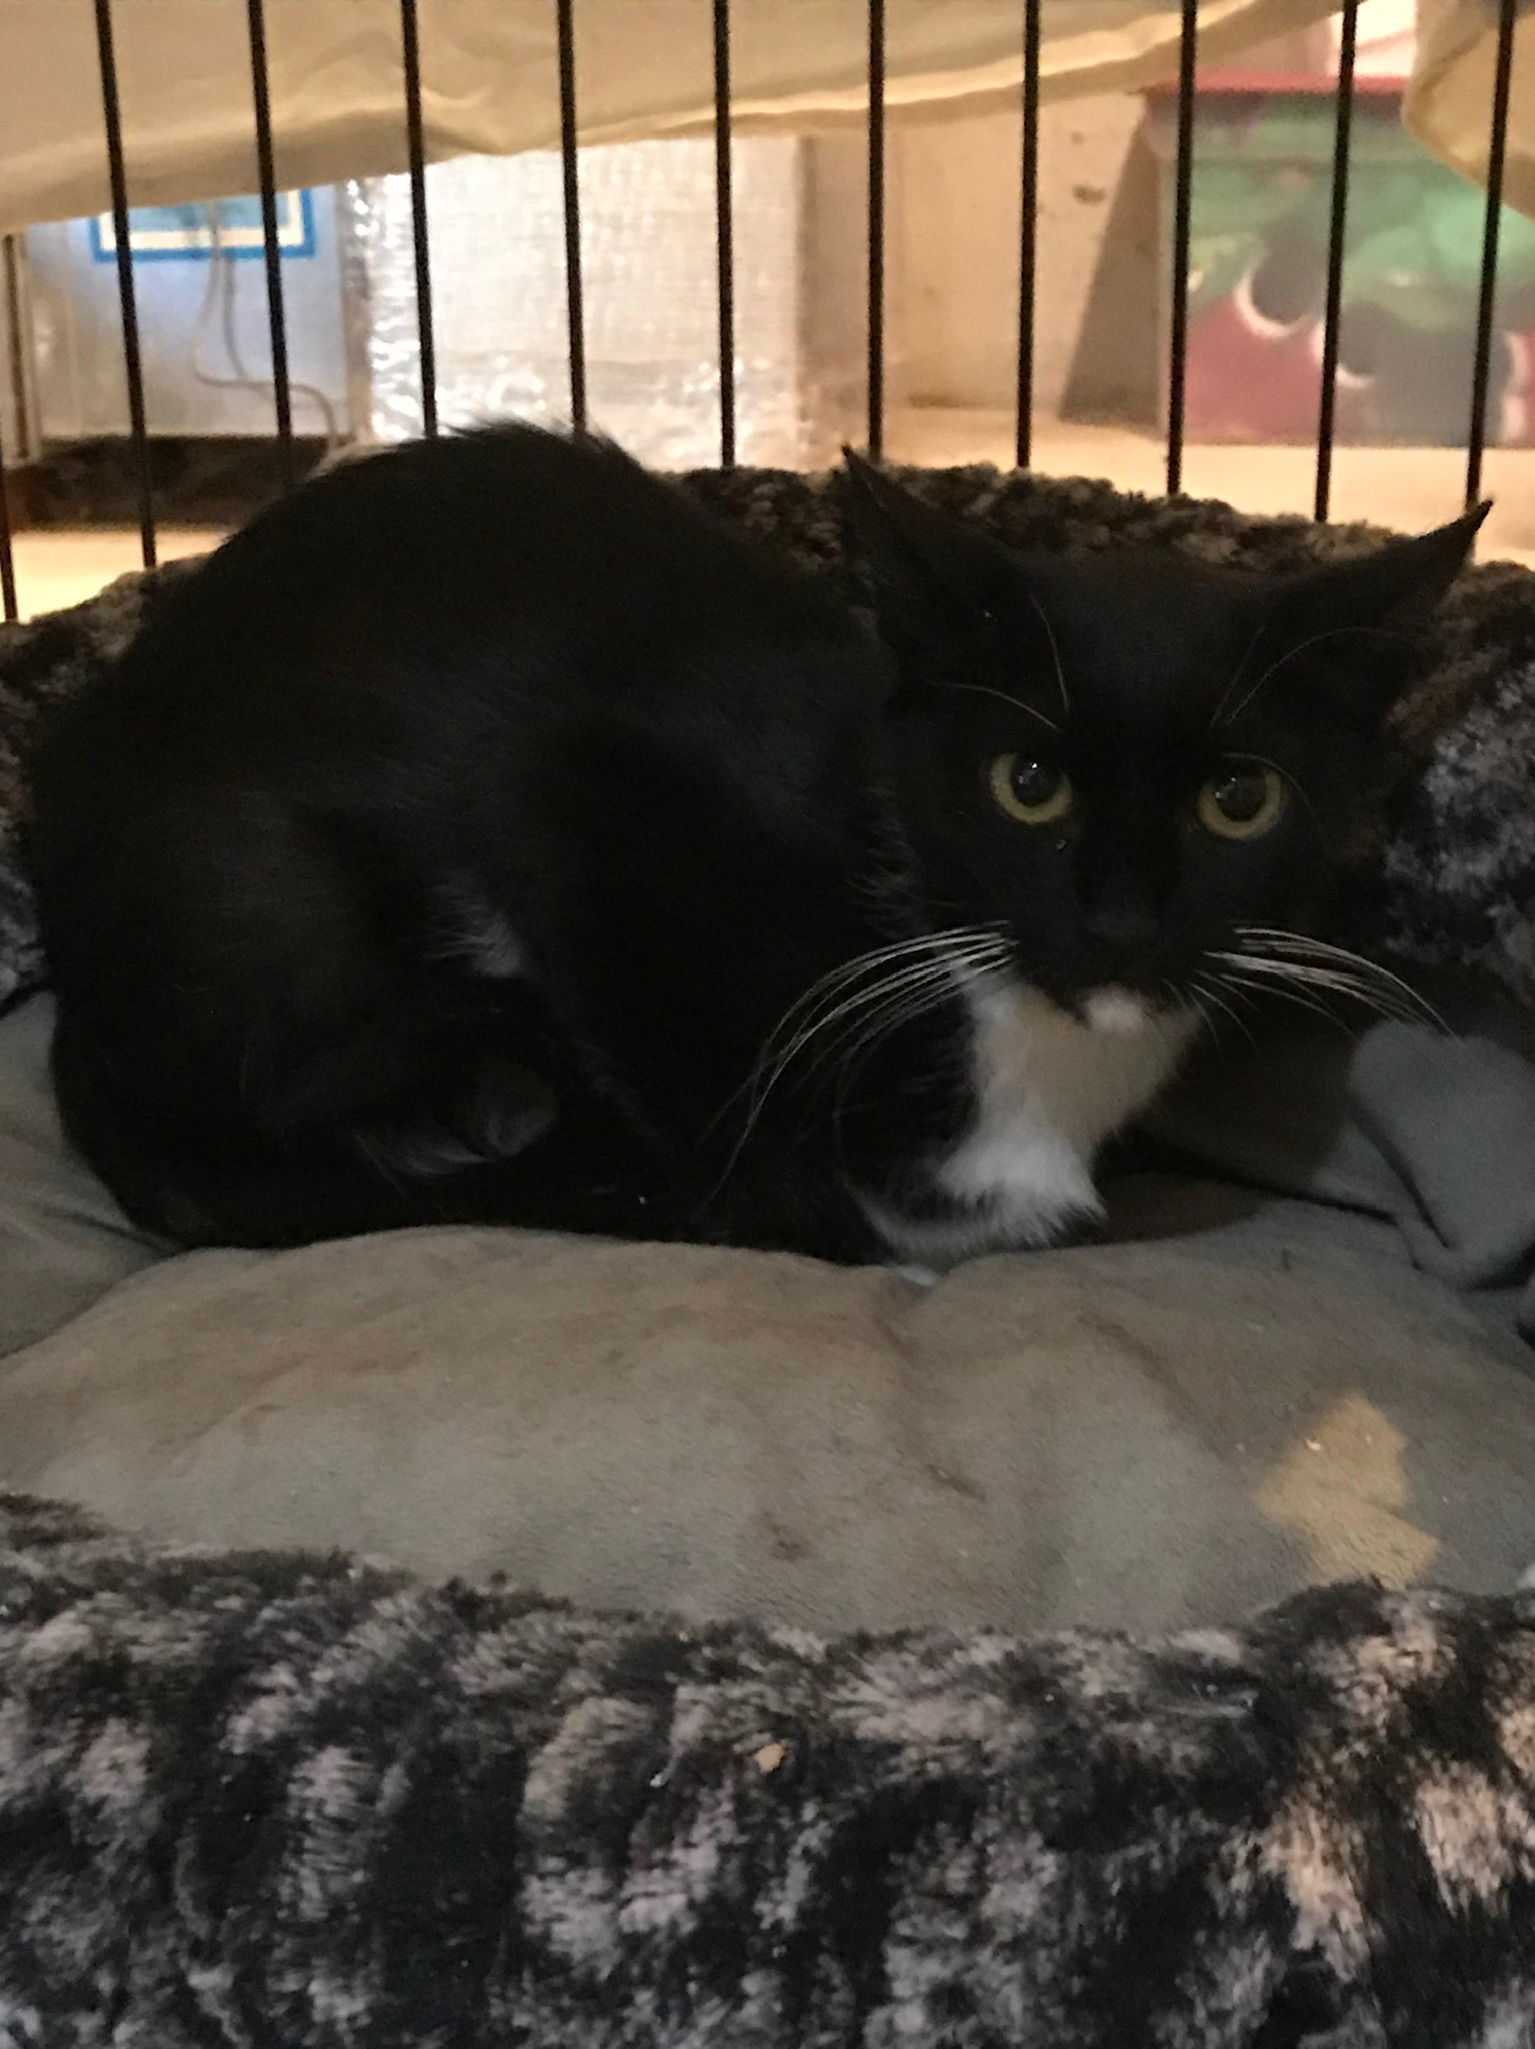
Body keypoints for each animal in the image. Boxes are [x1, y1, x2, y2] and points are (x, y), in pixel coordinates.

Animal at [26, 428, 1483, 1262]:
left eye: (1239, 800)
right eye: (1025, 784)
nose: (1123, 924)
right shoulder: (569, 788)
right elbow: (737, 1146)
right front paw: (775, 1205)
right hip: (264, 893)